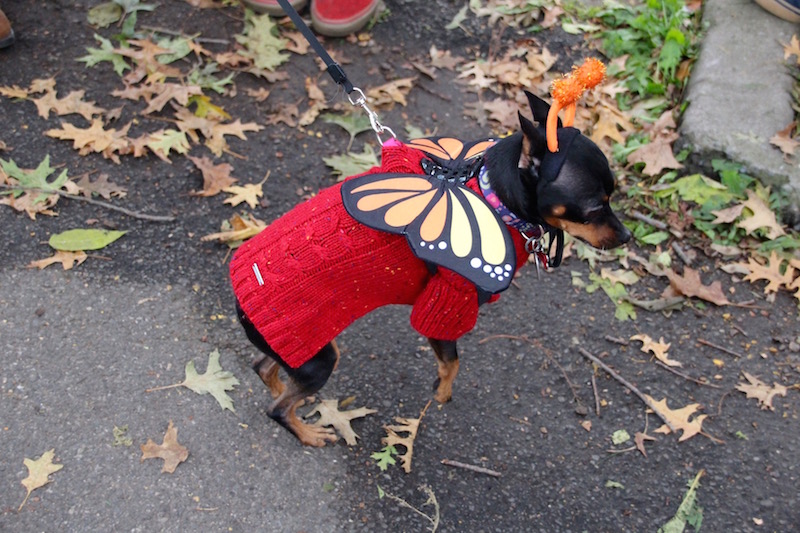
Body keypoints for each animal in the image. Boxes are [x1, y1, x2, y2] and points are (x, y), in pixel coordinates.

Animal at [228, 91, 628, 444]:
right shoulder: (445, 305)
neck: (494, 196)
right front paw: (442, 394)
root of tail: (237, 296)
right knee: (278, 409)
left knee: (264, 367)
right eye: (595, 207)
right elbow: (452, 362)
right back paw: (308, 432)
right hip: (318, 359)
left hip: (300, 348)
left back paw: (279, 387)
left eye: (614, 196)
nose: (625, 236)